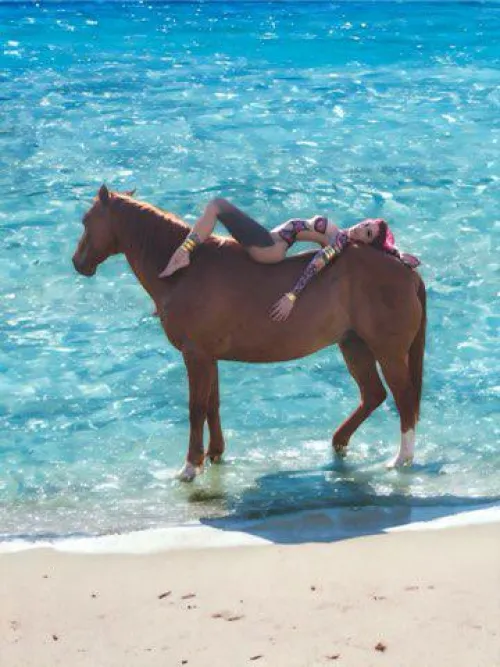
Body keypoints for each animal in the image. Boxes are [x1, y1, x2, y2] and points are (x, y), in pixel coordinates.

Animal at [72, 185, 426, 481]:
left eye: (86, 220)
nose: (78, 262)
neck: (187, 272)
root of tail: (406, 271)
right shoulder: (208, 357)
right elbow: (212, 404)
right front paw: (214, 454)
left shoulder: (195, 355)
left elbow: (195, 409)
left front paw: (190, 466)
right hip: (353, 345)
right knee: (373, 395)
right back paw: (339, 442)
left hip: (388, 352)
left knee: (404, 398)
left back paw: (401, 459)